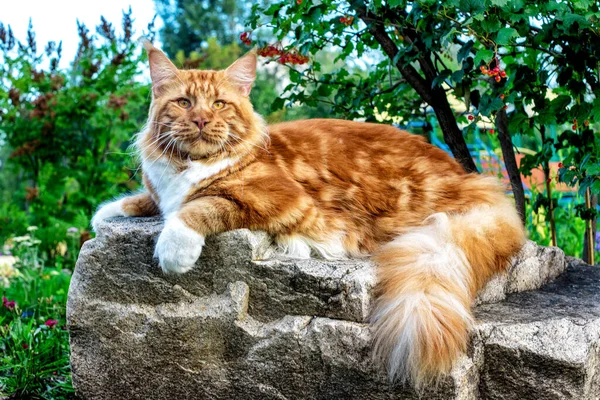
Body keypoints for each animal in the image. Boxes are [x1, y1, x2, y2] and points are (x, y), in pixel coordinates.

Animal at [92, 40, 524, 388]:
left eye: (218, 104)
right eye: (184, 103)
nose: (200, 120)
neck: (189, 166)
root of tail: (473, 180)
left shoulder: (279, 198)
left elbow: (201, 205)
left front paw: (174, 248)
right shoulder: (164, 188)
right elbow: (150, 200)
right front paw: (108, 212)